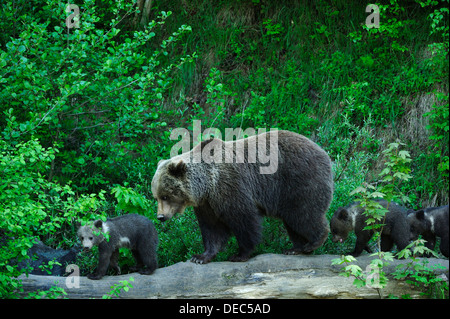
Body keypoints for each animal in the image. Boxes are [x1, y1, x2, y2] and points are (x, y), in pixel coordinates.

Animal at [153, 130, 332, 264]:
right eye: (157, 196)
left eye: (165, 196)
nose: (160, 216)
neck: (208, 184)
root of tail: (324, 153)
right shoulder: (207, 204)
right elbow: (212, 229)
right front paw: (201, 256)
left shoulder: (231, 187)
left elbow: (243, 219)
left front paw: (239, 254)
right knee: (293, 221)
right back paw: (295, 248)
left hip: (298, 179)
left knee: (303, 213)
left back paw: (313, 242)